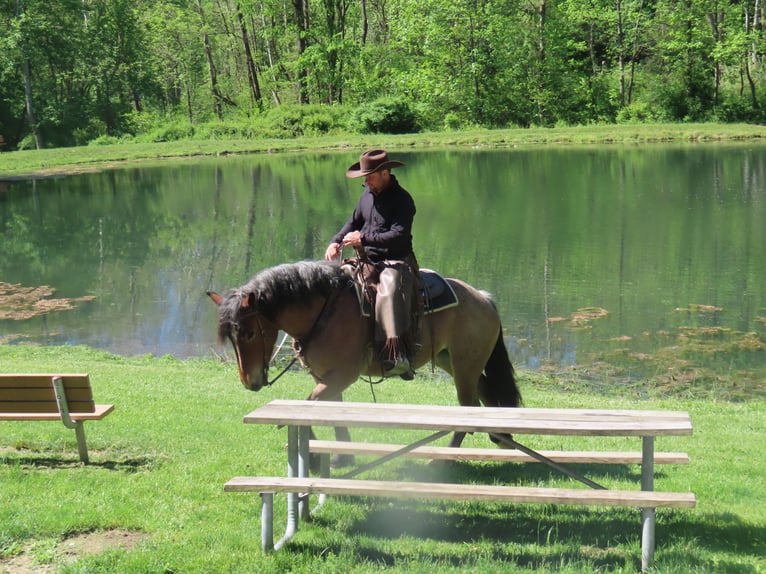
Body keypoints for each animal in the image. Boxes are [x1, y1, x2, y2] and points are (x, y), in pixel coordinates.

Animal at [208, 260, 521, 467]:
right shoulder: (326, 376)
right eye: (231, 337)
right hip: (453, 362)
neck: (324, 311)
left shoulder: (341, 375)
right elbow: (331, 411)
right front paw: (342, 455)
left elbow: (310, 406)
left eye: (249, 333)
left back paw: (444, 459)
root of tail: (483, 298)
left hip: (464, 366)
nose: (249, 381)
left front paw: (313, 457)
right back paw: (501, 436)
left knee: (469, 406)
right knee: (484, 396)